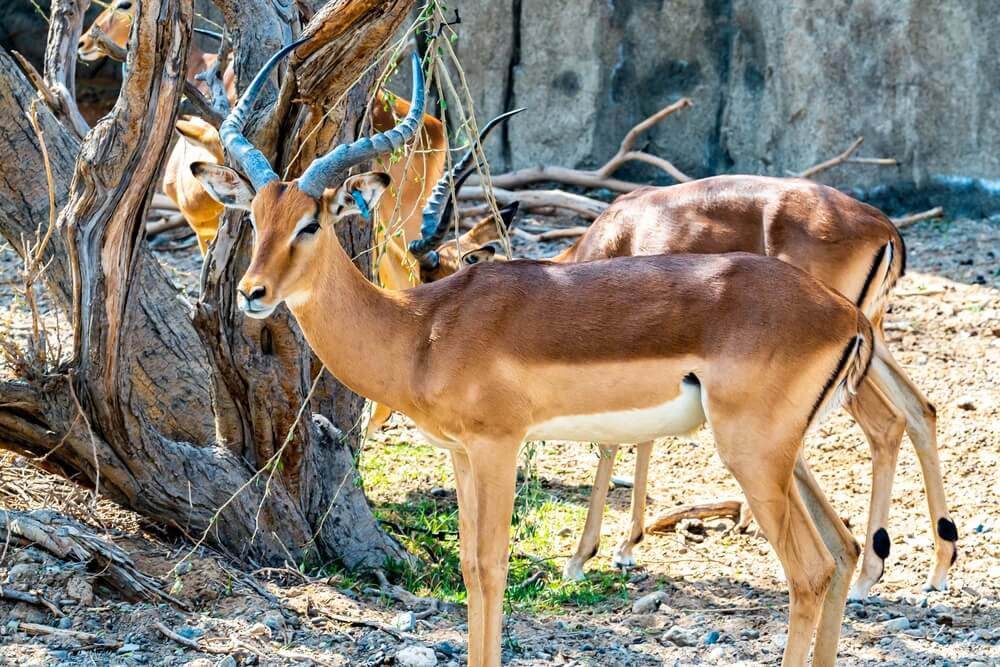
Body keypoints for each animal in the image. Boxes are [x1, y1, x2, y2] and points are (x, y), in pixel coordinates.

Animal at [195, 43, 876, 667]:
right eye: (256, 216)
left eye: (311, 223)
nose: (252, 292)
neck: (423, 329)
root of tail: (848, 315)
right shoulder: (462, 455)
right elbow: (470, 569)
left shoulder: (498, 445)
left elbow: (493, 566)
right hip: (784, 457)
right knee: (844, 548)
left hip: (752, 456)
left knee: (810, 570)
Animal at [418, 172, 956, 600]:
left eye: (437, 265)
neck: (613, 235)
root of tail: (885, 229)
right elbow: (639, 437)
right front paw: (625, 544)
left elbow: (616, 443)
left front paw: (587, 556)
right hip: (874, 338)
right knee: (918, 409)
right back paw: (931, 567)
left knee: (884, 423)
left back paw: (871, 573)